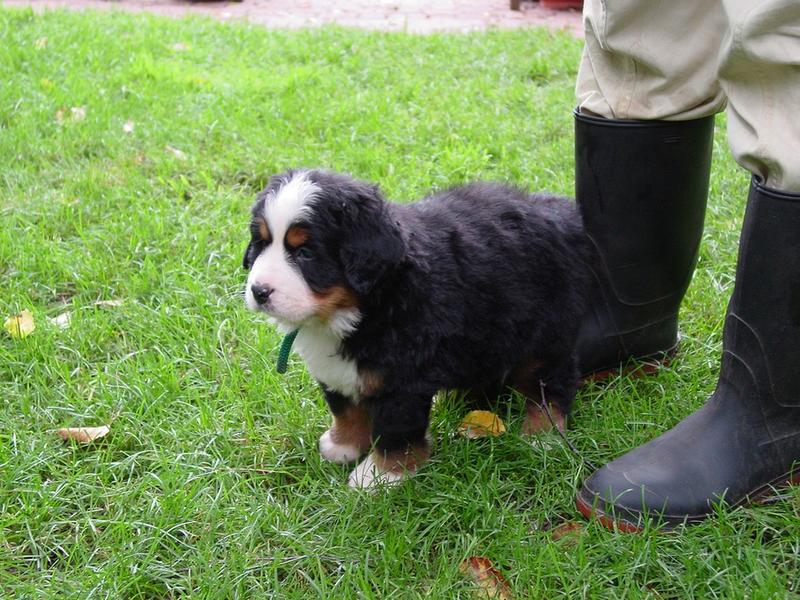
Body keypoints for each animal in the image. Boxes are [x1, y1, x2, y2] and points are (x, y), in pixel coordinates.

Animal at [242, 168, 588, 488]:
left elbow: (395, 430)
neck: (364, 306)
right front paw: (342, 446)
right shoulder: (336, 371)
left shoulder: (401, 379)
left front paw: (379, 476)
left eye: (305, 253)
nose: (259, 291)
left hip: (545, 334)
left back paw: (543, 434)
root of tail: (560, 213)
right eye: (261, 243)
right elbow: (345, 409)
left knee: (551, 383)